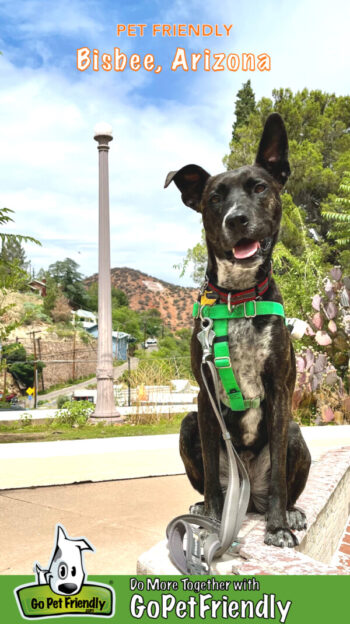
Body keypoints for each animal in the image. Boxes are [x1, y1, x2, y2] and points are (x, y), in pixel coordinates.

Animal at [165, 112, 310, 544]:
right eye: (215, 198)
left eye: (259, 187)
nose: (237, 219)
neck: (237, 297)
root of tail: (248, 501)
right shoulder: (205, 396)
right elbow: (213, 476)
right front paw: (211, 521)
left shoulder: (279, 390)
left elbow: (279, 476)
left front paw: (278, 528)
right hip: (189, 424)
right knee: (212, 479)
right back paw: (203, 507)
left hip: (295, 431)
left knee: (283, 481)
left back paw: (289, 512)